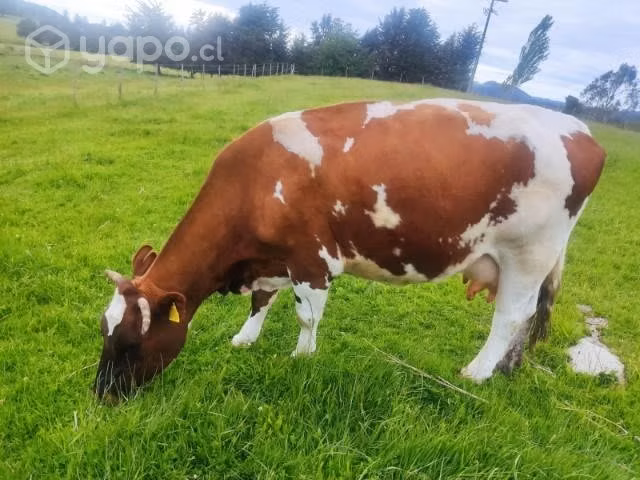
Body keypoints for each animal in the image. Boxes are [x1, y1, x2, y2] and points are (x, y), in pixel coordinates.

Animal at [93, 98, 605, 401]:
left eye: (132, 343)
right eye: (104, 331)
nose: (102, 394)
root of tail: (580, 129)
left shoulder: (311, 259)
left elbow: (305, 316)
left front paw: (302, 357)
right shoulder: (274, 257)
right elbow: (263, 299)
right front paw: (245, 338)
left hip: (528, 252)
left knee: (511, 316)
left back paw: (477, 373)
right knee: (526, 316)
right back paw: (507, 368)